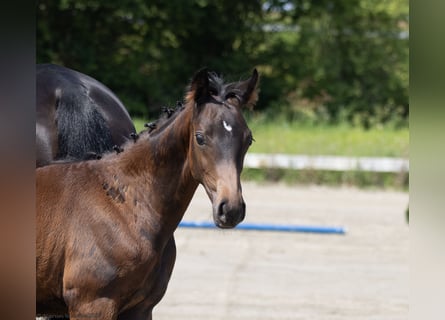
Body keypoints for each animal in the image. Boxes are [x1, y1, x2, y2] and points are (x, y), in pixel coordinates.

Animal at [37, 67, 260, 318]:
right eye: (200, 138)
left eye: (249, 140)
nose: (230, 209)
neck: (122, 203)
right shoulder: (91, 305)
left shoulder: (142, 307)